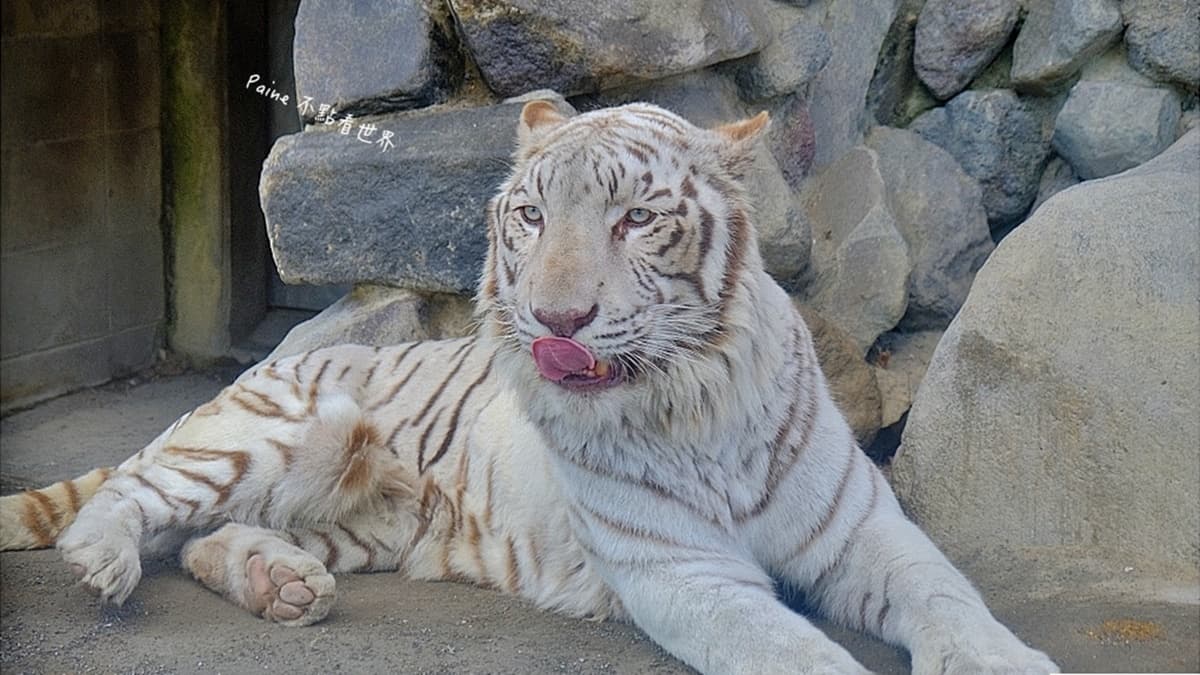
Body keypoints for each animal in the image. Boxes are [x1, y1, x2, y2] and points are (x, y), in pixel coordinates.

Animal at [0, 101, 1057, 674]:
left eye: (637, 219)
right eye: (533, 217)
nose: (556, 321)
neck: (694, 404)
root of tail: (260, 365)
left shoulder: (866, 532)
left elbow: (952, 598)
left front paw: (1007, 656)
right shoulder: (684, 570)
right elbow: (791, 648)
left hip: (362, 524)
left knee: (198, 539)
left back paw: (281, 582)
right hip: (277, 430)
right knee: (134, 500)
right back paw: (105, 561)